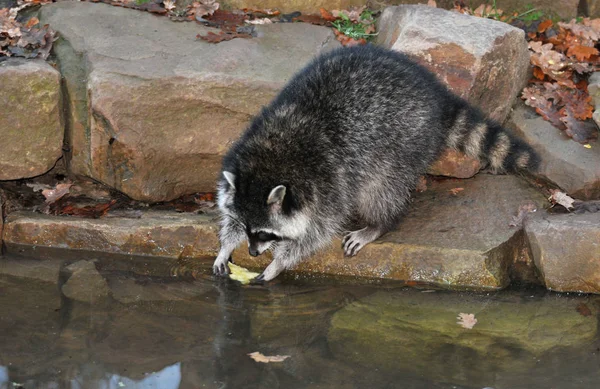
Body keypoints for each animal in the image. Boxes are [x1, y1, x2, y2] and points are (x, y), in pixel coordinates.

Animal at [214, 44, 540, 280]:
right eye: (245, 227)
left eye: (265, 233)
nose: (253, 253)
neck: (272, 159)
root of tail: (435, 95)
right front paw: (226, 244)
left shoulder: (328, 185)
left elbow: (318, 231)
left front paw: (281, 260)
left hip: (403, 141)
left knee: (381, 188)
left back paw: (379, 223)